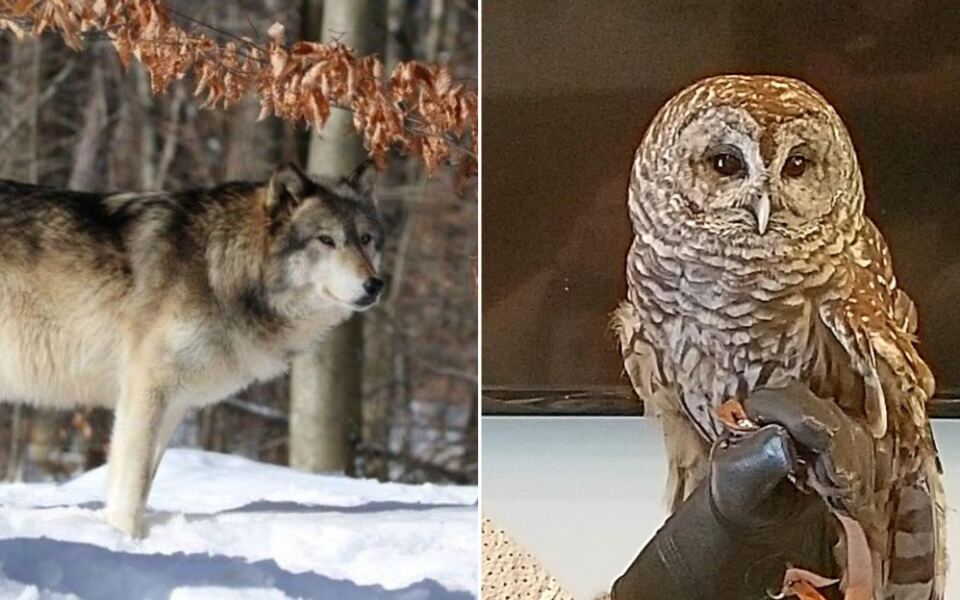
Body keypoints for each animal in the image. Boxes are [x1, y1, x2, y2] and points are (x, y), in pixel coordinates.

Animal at [0, 162, 384, 537]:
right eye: (327, 240)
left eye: (366, 239)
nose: (375, 285)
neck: (220, 270)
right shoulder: (146, 389)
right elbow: (133, 483)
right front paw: (124, 539)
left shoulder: (174, 404)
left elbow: (142, 482)